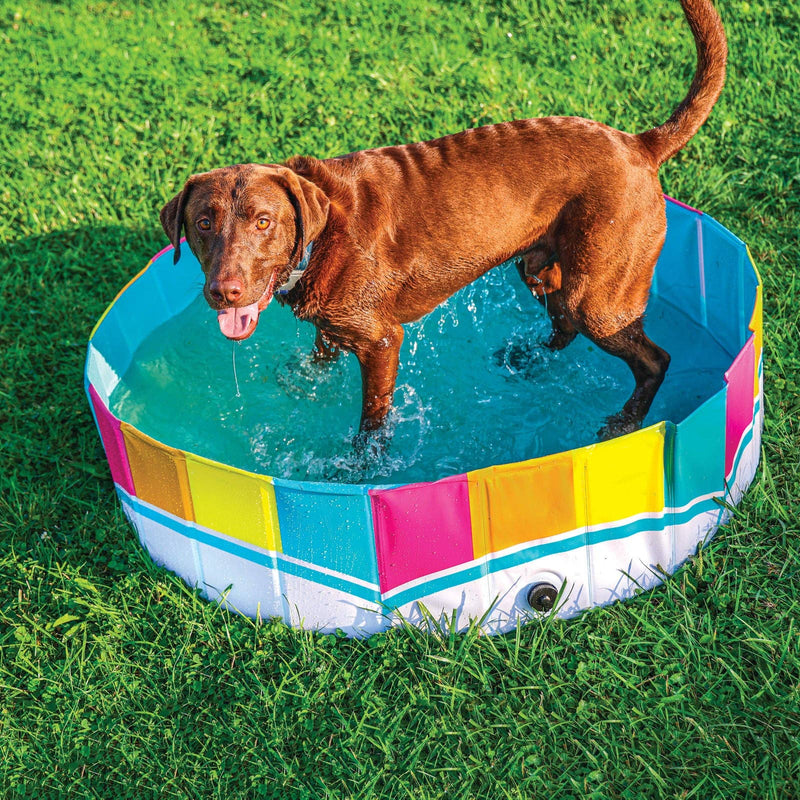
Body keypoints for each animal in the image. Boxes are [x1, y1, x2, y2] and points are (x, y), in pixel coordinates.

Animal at [161, 0, 724, 438]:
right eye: (204, 224)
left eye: (263, 222)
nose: (224, 292)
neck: (323, 235)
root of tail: (639, 144)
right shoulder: (334, 324)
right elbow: (319, 355)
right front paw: (302, 382)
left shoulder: (382, 341)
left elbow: (372, 421)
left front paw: (359, 468)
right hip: (542, 265)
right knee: (562, 319)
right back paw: (526, 359)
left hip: (603, 295)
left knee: (650, 358)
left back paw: (625, 422)